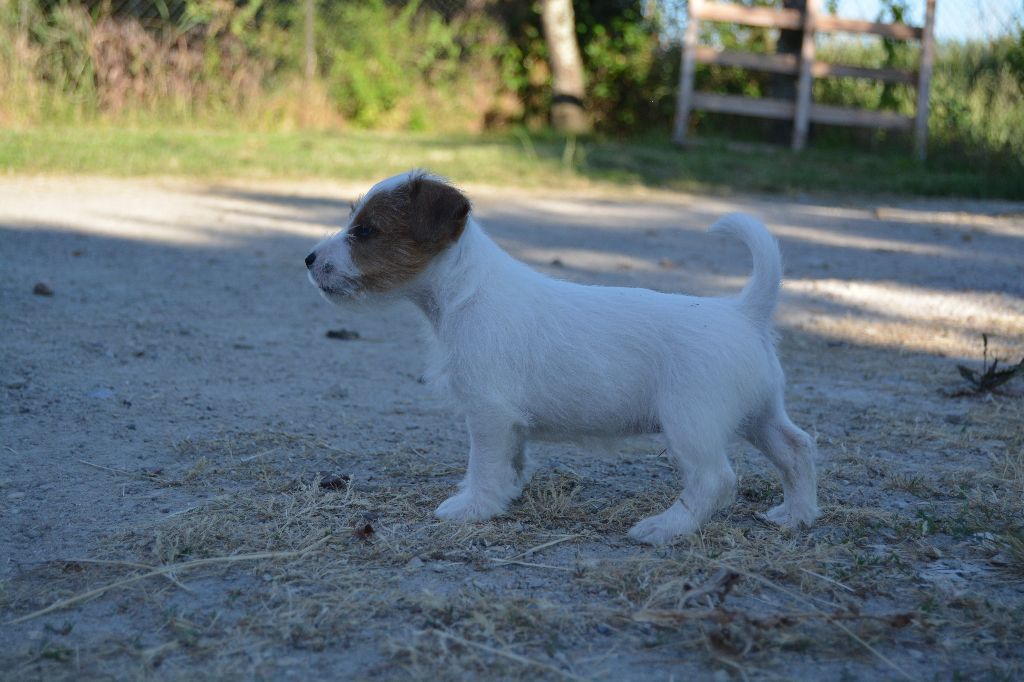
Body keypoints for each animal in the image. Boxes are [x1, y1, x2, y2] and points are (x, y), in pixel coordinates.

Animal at [307, 169, 819, 540]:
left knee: (715, 479)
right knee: (796, 448)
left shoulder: (488, 413)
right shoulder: (509, 421)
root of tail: (744, 311)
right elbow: (512, 461)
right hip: (759, 413)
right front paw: (507, 494)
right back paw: (797, 515)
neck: (465, 292)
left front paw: (473, 507)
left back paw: (665, 528)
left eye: (365, 231)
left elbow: (484, 465)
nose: (309, 259)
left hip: (690, 422)